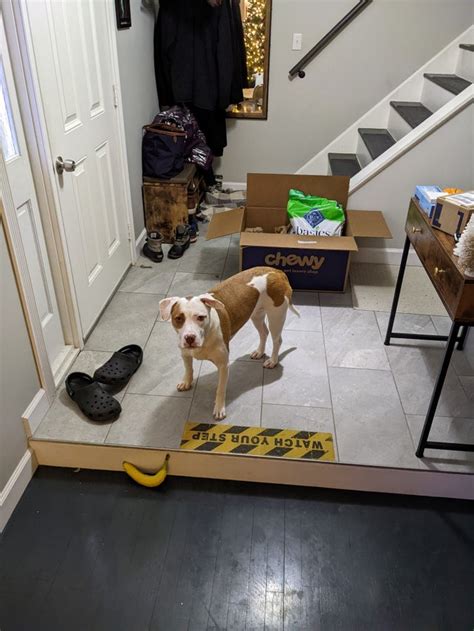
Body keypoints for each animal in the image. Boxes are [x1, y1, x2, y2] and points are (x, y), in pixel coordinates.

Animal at [160, 266, 300, 420]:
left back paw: (273, 361)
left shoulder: (223, 365)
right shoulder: (185, 354)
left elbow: (220, 389)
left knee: (277, 340)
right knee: (264, 332)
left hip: (276, 316)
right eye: (178, 318)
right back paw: (259, 352)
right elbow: (188, 369)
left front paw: (219, 408)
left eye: (201, 317)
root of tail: (276, 271)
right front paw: (186, 382)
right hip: (256, 314)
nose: (189, 337)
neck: (205, 337)